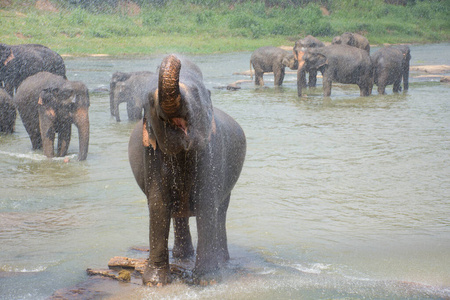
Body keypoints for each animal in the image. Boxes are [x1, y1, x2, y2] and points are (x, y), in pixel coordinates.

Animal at [126, 54, 246, 286]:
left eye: (198, 93)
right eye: (151, 102)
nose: (176, 56)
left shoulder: (211, 150)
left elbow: (206, 202)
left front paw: (207, 280)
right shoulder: (151, 154)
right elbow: (159, 204)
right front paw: (155, 283)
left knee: (221, 210)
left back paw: (223, 260)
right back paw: (182, 257)